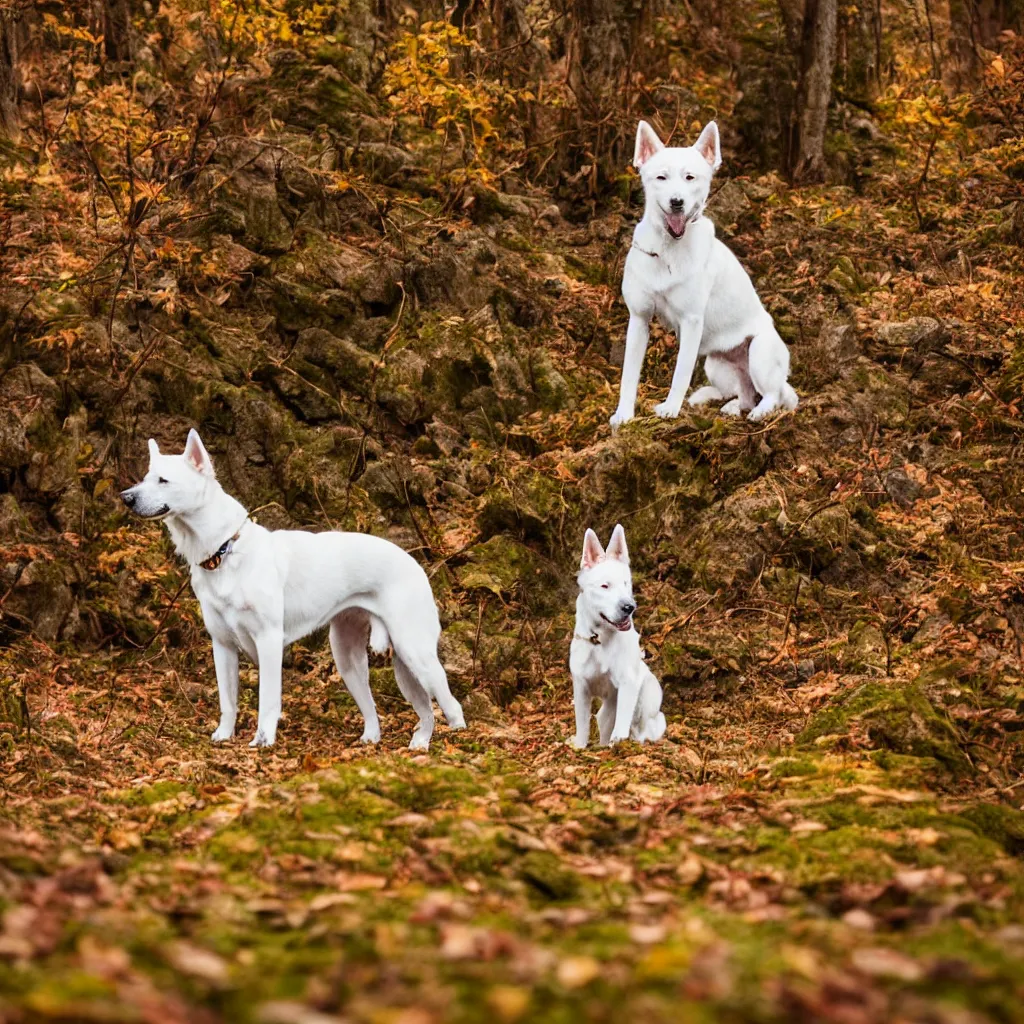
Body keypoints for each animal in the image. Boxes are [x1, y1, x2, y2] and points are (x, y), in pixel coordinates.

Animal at [118, 428, 464, 749]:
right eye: (145, 479)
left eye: (163, 480)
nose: (126, 497)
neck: (225, 550)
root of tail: (415, 563)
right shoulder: (223, 646)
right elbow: (228, 701)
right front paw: (224, 736)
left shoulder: (268, 641)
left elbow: (267, 700)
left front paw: (263, 741)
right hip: (352, 660)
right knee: (400, 711)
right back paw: (396, 741)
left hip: (415, 652)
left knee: (451, 706)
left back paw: (450, 741)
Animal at [569, 524, 663, 749]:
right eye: (605, 586)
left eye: (626, 583)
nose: (629, 607)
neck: (599, 641)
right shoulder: (581, 687)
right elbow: (582, 726)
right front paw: (579, 747)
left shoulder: (628, 683)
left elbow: (621, 724)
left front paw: (618, 743)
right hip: (607, 709)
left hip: (645, 696)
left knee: (644, 727)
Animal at [606, 118, 798, 423]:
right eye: (661, 178)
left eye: (690, 178)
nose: (677, 202)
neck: (668, 249)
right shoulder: (638, 319)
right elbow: (629, 375)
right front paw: (624, 414)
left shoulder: (691, 322)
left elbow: (680, 373)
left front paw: (671, 408)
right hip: (716, 365)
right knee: (745, 393)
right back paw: (734, 408)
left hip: (759, 352)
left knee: (774, 394)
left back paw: (760, 411)